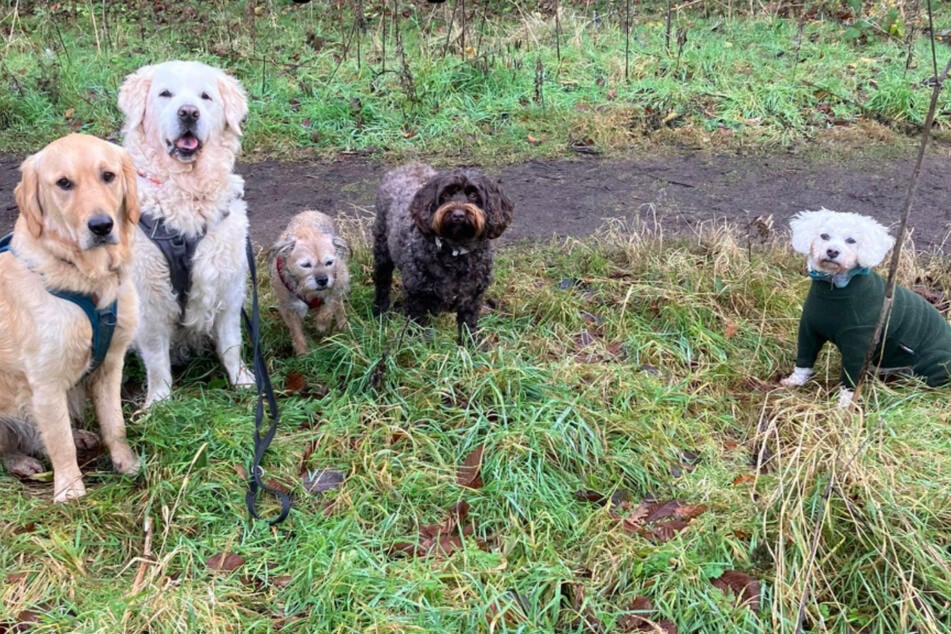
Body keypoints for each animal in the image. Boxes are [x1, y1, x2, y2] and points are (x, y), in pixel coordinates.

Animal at [0, 133, 141, 498]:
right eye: (64, 183)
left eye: (108, 176)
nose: (102, 226)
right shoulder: (45, 382)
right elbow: (59, 442)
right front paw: (70, 491)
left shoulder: (110, 365)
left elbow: (115, 425)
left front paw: (127, 464)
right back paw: (21, 462)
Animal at [117, 60, 255, 404]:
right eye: (165, 94)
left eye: (205, 97)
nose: (189, 113)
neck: (186, 193)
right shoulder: (149, 299)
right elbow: (156, 360)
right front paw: (159, 401)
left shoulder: (227, 285)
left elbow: (231, 344)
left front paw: (243, 382)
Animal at [268, 209, 350, 354]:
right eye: (305, 265)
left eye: (329, 262)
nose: (323, 280)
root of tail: (310, 211)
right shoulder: (289, 307)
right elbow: (296, 332)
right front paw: (303, 353)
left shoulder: (335, 288)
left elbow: (327, 310)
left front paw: (322, 325)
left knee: (339, 309)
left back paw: (343, 327)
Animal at [376, 162, 516, 340]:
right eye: (446, 194)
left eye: (474, 195)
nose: (458, 215)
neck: (455, 251)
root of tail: (408, 165)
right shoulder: (417, 297)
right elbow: (416, 327)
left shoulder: (472, 299)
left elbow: (468, 328)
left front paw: (470, 345)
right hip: (382, 251)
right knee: (382, 283)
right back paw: (379, 311)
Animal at [780, 207, 951, 404]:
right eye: (824, 236)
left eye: (851, 240)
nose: (832, 251)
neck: (835, 287)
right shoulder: (809, 331)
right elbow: (804, 359)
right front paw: (795, 381)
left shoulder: (858, 344)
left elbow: (850, 379)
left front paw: (844, 405)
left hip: (933, 367)